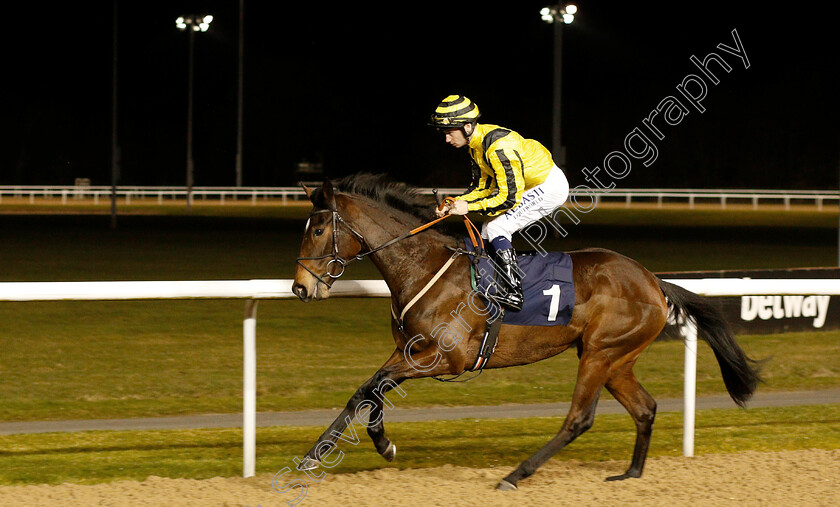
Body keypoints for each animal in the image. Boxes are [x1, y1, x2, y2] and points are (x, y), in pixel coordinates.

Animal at [290, 174, 760, 488]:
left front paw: (370, 446)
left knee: (578, 419)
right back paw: (630, 473)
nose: (300, 288)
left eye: (318, 229)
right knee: (644, 408)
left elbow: (374, 387)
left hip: (600, 354)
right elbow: (366, 391)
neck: (424, 267)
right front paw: (321, 456)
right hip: (616, 359)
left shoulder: (449, 357)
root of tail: (653, 281)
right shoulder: (410, 350)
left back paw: (516, 474)